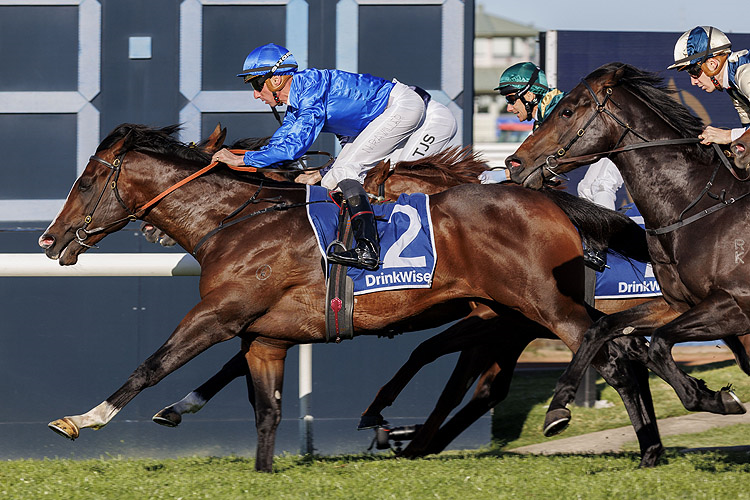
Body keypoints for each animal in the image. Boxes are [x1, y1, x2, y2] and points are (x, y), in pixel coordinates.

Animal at [41, 123, 664, 470]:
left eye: (88, 180)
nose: (49, 240)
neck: (237, 222)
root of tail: (550, 201)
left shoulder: (221, 314)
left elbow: (153, 364)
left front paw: (83, 418)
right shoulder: (264, 333)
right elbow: (263, 407)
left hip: (539, 306)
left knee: (610, 353)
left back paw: (633, 442)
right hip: (510, 315)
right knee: (596, 356)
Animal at [506, 63, 750, 438]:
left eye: (566, 111)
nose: (514, 163)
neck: (697, 206)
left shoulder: (735, 307)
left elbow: (659, 345)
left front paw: (711, 396)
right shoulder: (678, 305)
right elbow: (604, 329)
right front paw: (558, 406)